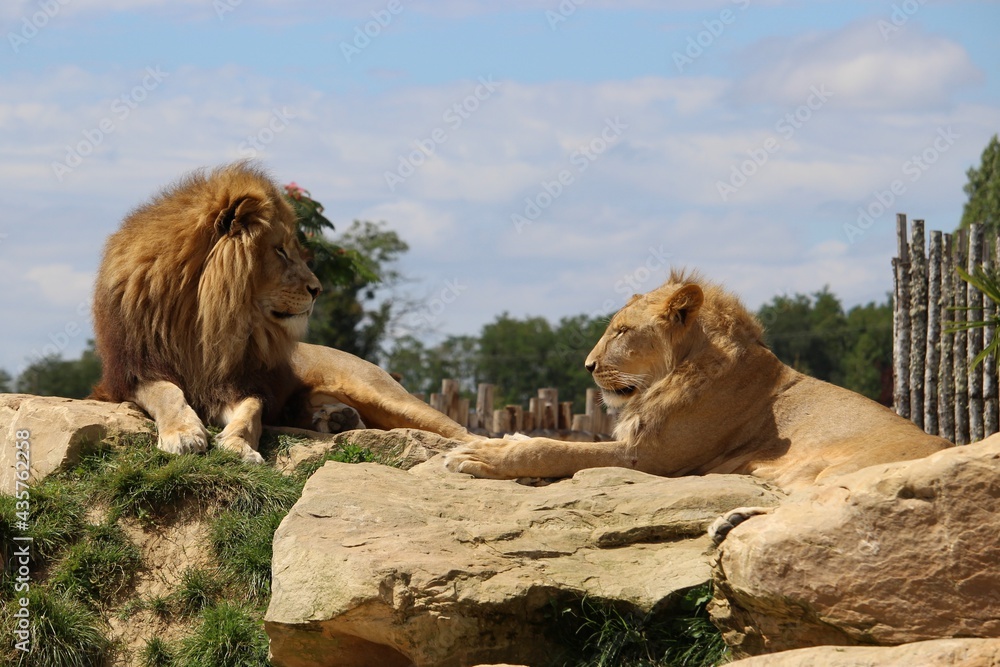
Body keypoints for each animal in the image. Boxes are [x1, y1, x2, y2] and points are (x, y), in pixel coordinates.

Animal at [91, 162, 475, 462]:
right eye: (280, 251)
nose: (318, 289)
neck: (207, 321)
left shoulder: (242, 382)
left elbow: (252, 412)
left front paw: (238, 444)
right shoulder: (130, 375)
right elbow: (167, 392)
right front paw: (184, 433)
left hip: (380, 392)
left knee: (462, 431)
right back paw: (338, 420)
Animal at [444, 272, 951, 498]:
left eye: (621, 331)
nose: (588, 366)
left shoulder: (652, 460)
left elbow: (556, 449)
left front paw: (482, 455)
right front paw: (503, 438)